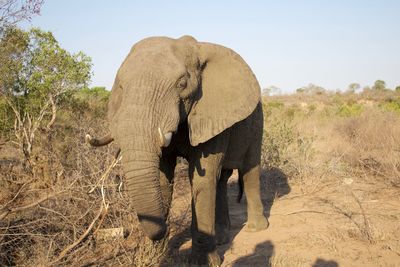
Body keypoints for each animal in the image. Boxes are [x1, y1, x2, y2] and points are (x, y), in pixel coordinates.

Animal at [86, 35, 268, 266]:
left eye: (182, 84)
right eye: (120, 87)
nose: (166, 230)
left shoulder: (210, 113)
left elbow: (202, 179)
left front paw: (203, 263)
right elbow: (163, 177)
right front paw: (156, 257)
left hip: (257, 122)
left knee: (249, 170)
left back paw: (256, 228)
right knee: (222, 179)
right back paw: (222, 238)